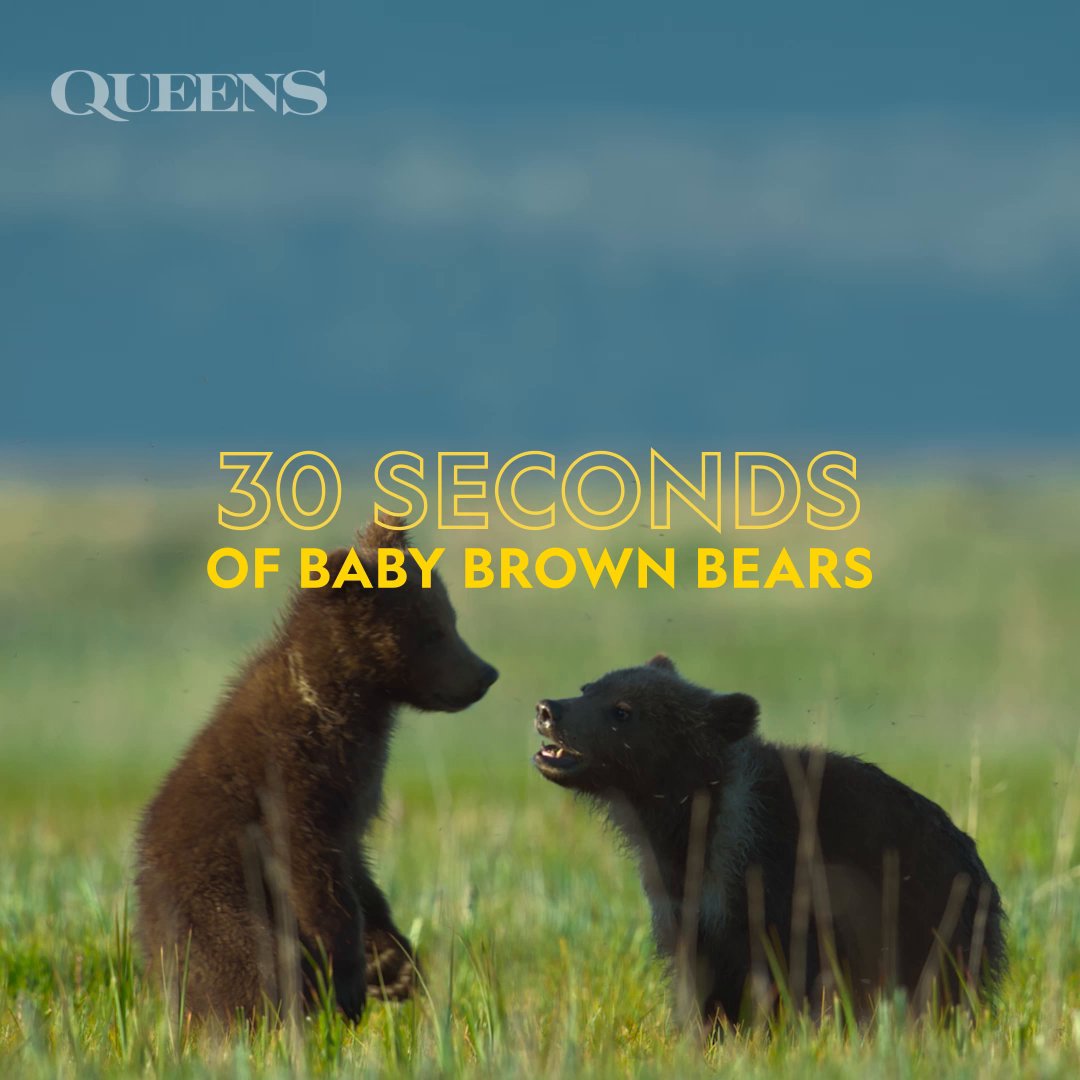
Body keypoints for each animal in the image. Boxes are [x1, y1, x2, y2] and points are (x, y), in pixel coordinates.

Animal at [135, 519, 498, 1023]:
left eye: (450, 618)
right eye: (432, 630)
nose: (485, 674)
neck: (344, 698)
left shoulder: (356, 792)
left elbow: (357, 869)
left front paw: (394, 965)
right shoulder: (293, 778)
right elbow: (312, 873)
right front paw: (347, 981)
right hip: (215, 902)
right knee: (246, 967)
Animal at [533, 655, 1006, 1027]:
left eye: (622, 711)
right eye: (588, 688)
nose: (547, 709)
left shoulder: (777, 878)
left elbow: (784, 973)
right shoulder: (686, 902)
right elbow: (698, 975)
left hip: (925, 916)